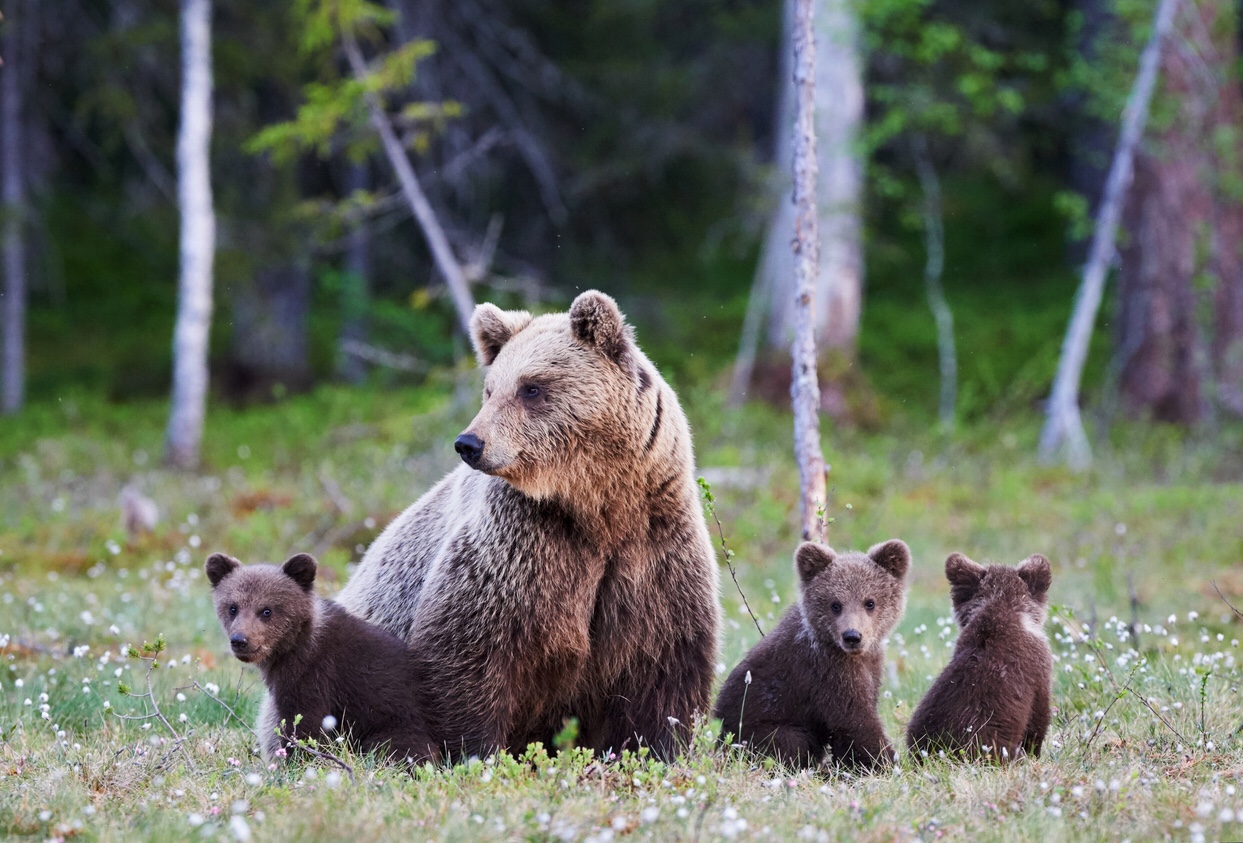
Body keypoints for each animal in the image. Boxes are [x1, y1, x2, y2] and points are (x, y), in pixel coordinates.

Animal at [335, 293, 725, 760]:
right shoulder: (521, 547)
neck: (598, 506)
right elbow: (469, 653)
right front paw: (474, 751)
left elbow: (664, 667)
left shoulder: (654, 549)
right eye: (490, 389)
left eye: (531, 387)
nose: (469, 443)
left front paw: (658, 749)